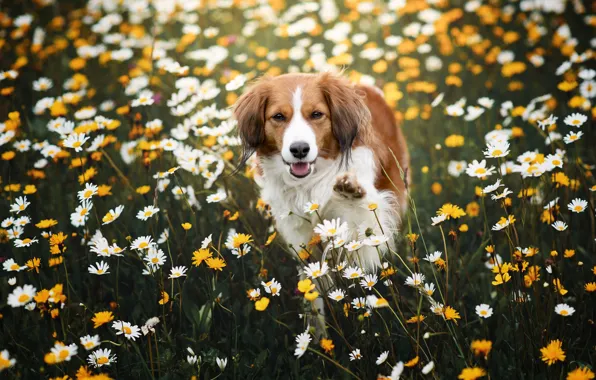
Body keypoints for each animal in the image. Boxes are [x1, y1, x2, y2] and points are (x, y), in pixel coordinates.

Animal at [233, 73, 410, 270]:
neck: (310, 182)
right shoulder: (296, 227)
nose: (300, 149)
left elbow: (361, 224)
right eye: (278, 116)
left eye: (316, 114)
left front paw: (349, 190)